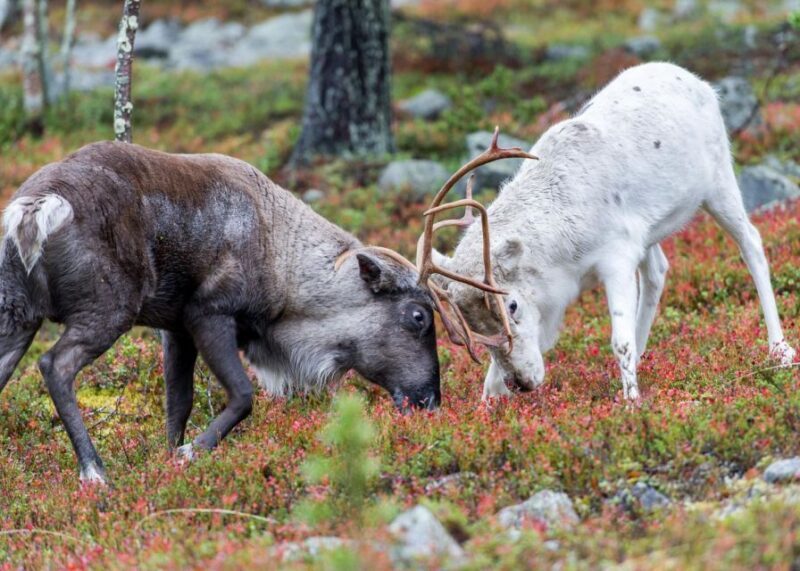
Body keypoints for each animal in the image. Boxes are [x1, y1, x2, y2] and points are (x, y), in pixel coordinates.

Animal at [0, 137, 531, 484]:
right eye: (419, 317)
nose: (429, 401)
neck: (285, 271)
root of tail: (33, 208)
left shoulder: (173, 327)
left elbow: (178, 402)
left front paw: (169, 458)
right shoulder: (209, 313)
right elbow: (242, 396)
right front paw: (191, 453)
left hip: (17, 312)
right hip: (106, 307)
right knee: (55, 365)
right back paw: (94, 472)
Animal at [423, 62, 796, 401]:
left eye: (511, 305)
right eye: (469, 323)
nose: (522, 384)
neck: (561, 249)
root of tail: (696, 80)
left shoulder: (616, 258)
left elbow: (620, 340)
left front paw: (632, 404)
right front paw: (488, 402)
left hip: (719, 184)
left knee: (751, 243)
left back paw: (779, 349)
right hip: (652, 231)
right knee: (658, 271)